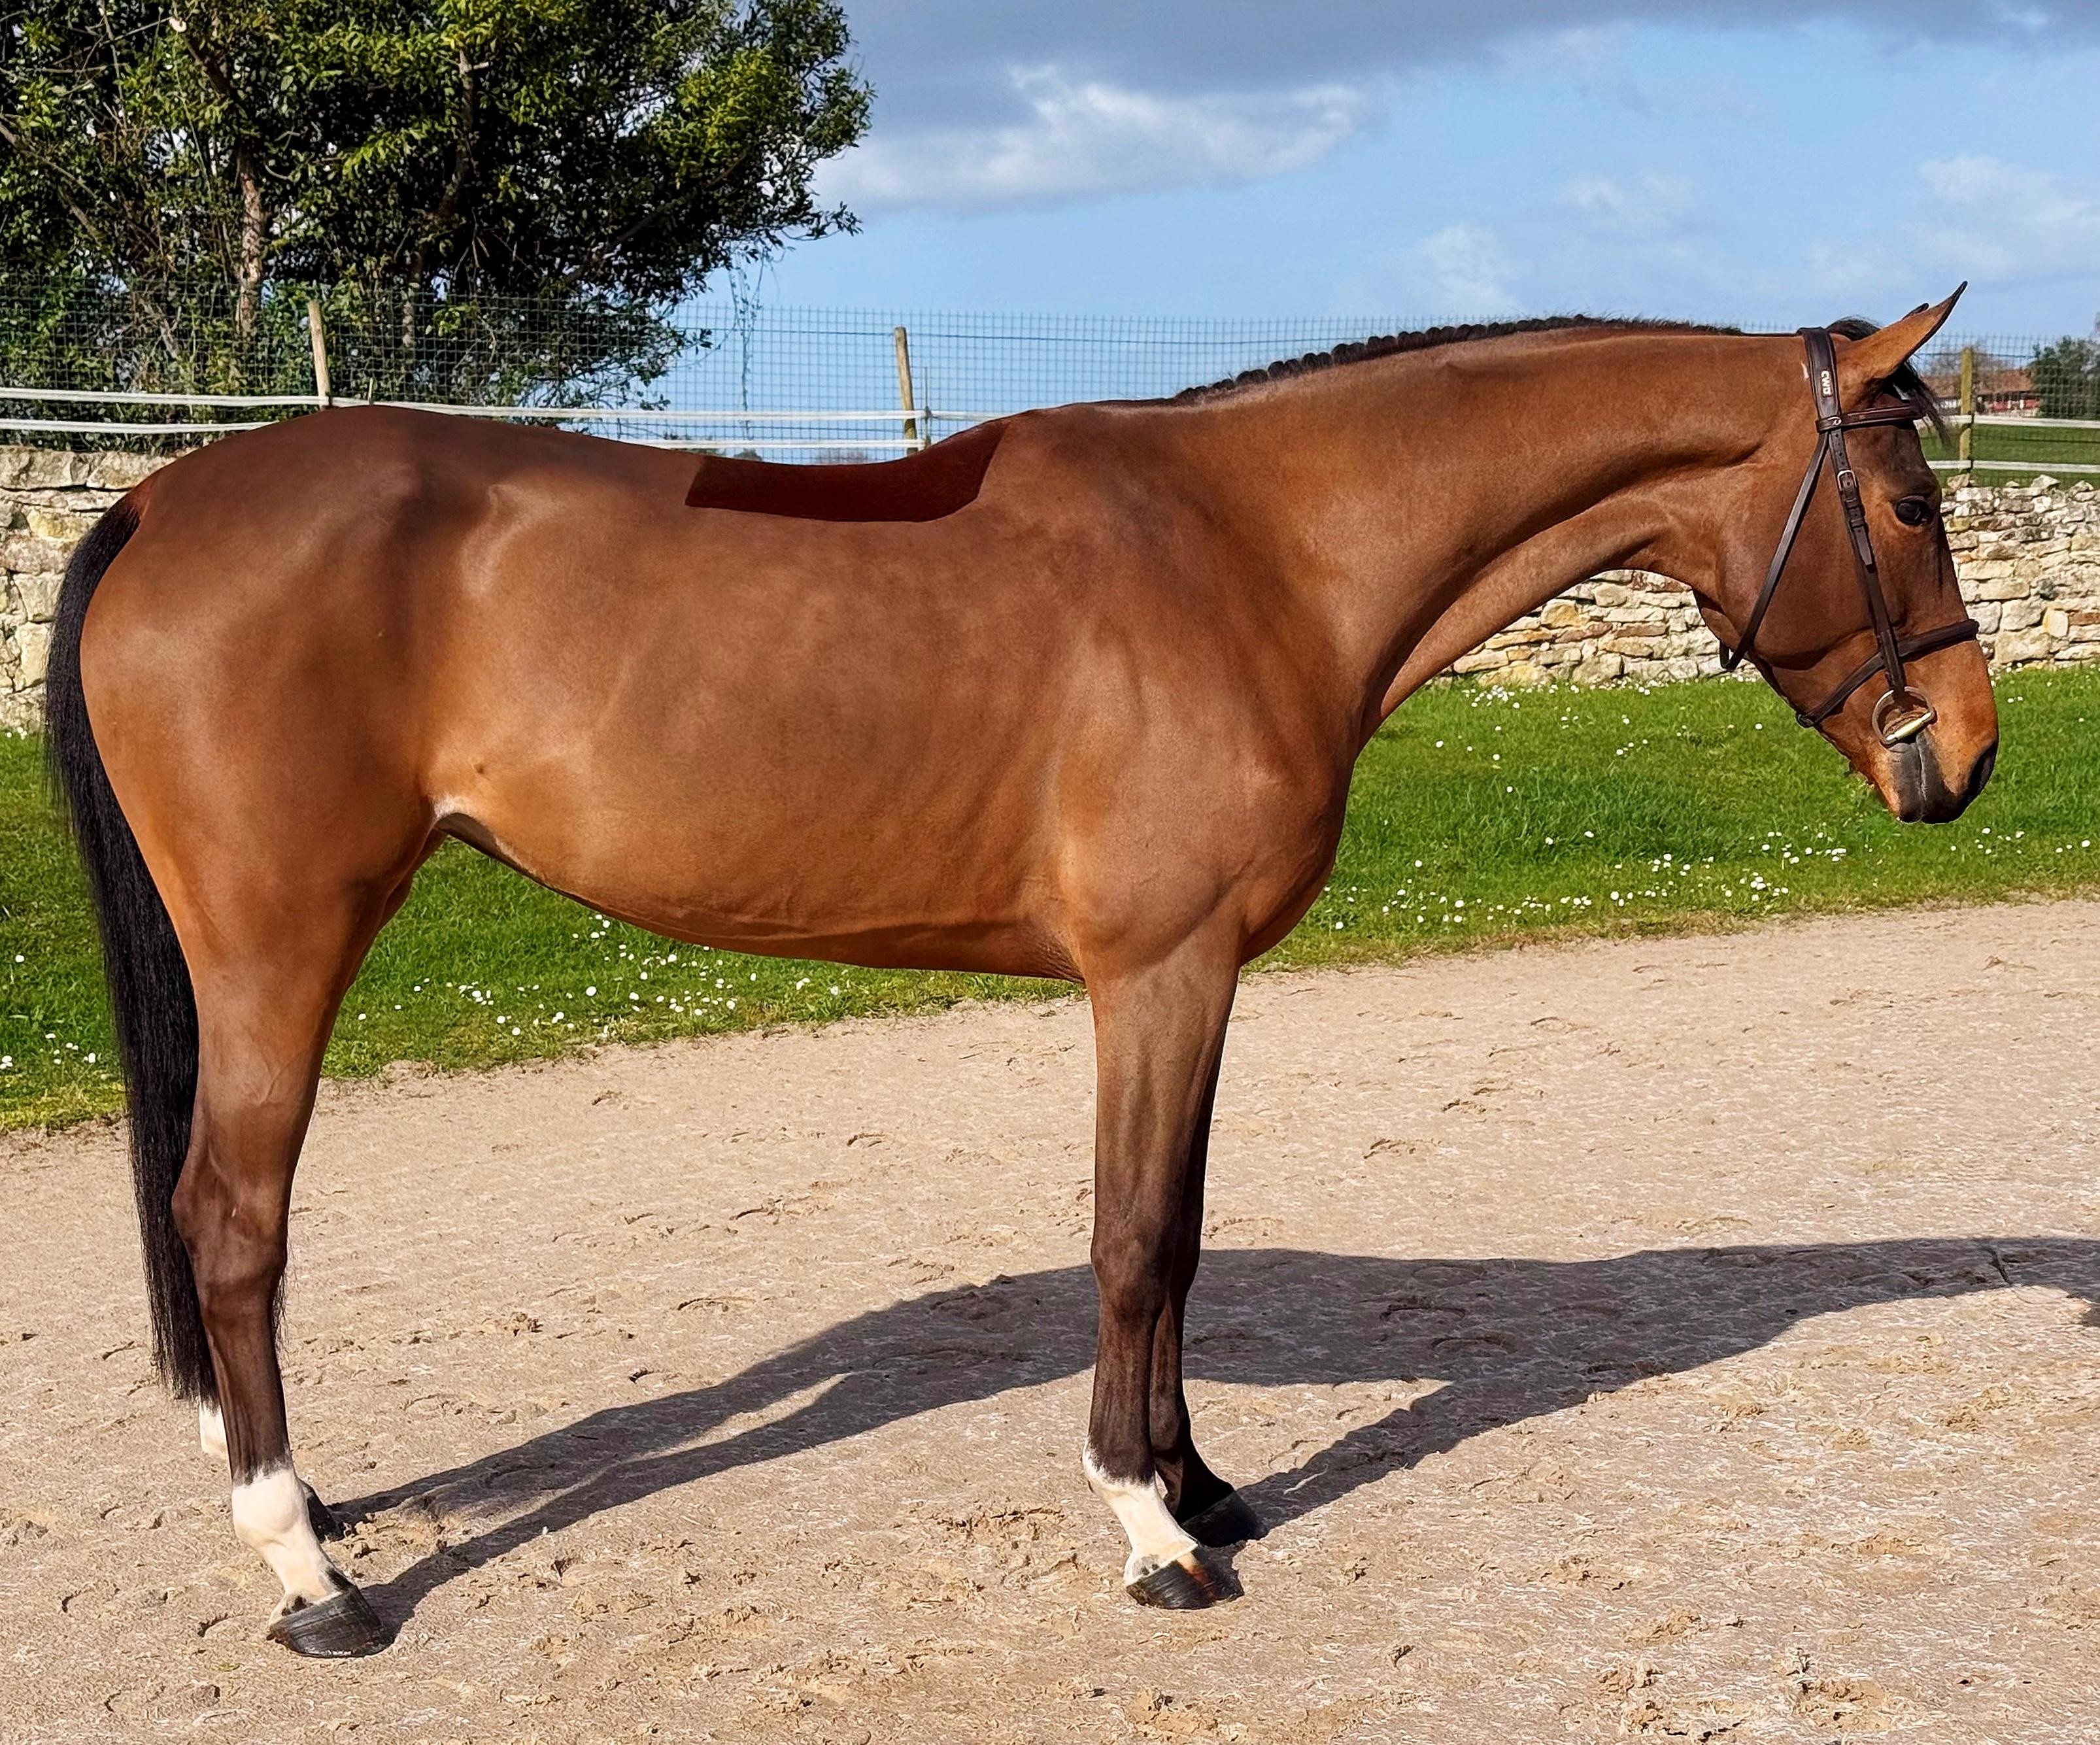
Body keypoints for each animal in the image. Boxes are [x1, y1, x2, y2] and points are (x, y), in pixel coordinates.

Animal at [45, 289, 1994, 1656]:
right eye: (1905, 498)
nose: (1964, 756)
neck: (1255, 552)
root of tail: (154, 500)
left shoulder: (1199, 981)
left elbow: (1182, 1232)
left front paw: (1207, 1485)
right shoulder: (1156, 970)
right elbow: (1132, 1239)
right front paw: (1149, 1530)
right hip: (282, 942)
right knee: (232, 1220)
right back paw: (306, 1568)